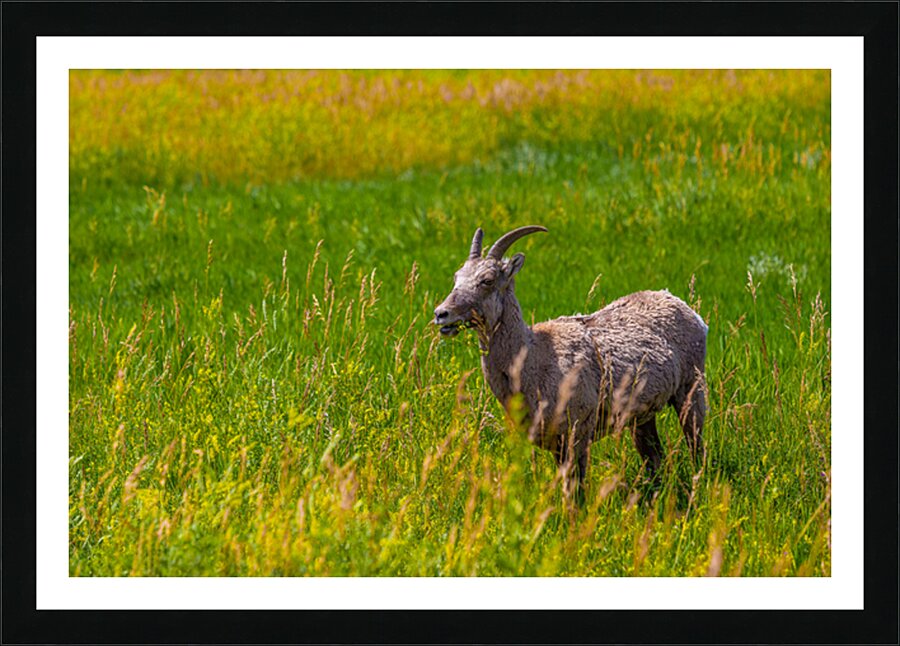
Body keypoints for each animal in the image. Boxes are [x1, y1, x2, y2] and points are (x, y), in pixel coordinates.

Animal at [433, 226, 708, 495]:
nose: (441, 314)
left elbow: (576, 492)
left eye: (487, 280)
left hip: (691, 390)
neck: (534, 359)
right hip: (641, 416)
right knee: (653, 457)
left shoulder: (577, 433)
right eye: (457, 277)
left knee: (696, 445)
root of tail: (687, 309)